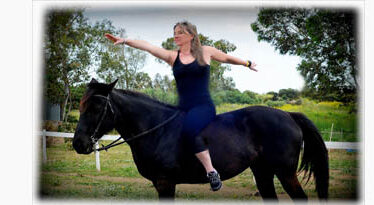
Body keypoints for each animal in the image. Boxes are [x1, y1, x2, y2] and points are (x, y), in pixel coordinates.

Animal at [72, 79, 328, 201]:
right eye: (82, 105)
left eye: (96, 107)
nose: (78, 144)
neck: (156, 129)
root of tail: (288, 115)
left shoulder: (165, 182)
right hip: (263, 172)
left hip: (285, 172)